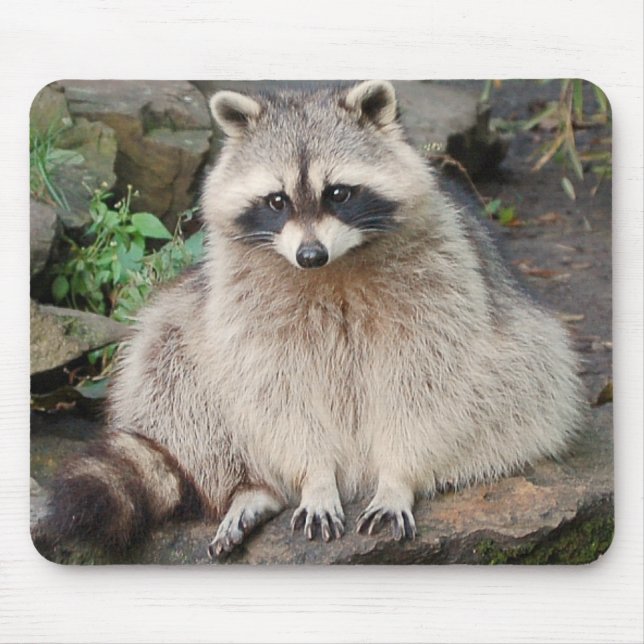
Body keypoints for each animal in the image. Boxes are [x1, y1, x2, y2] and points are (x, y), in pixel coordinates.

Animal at [37, 81, 582, 560]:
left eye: (338, 193)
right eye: (277, 200)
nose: (310, 255)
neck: (332, 269)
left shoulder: (439, 286)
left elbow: (424, 384)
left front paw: (399, 477)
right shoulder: (246, 304)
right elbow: (279, 391)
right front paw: (315, 479)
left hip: (523, 362)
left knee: (524, 378)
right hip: (187, 328)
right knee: (168, 361)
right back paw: (252, 487)